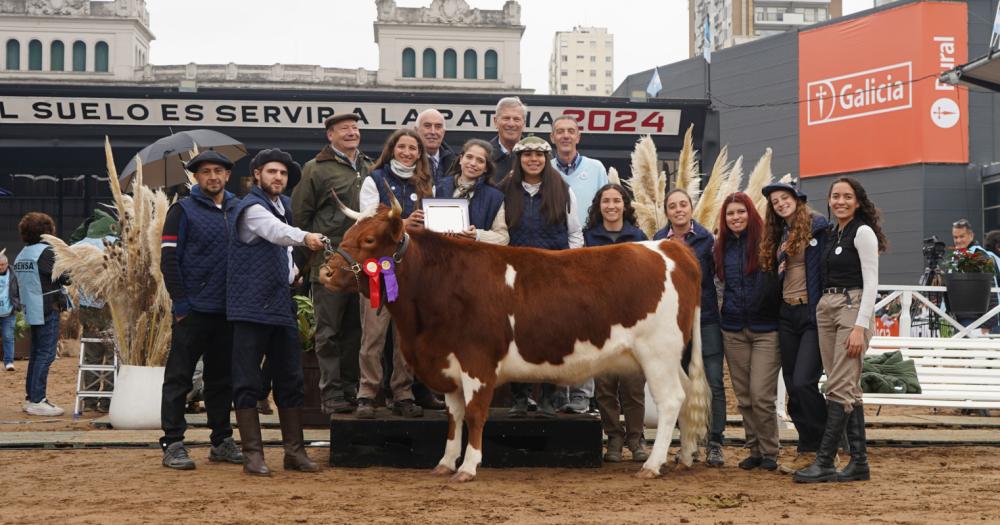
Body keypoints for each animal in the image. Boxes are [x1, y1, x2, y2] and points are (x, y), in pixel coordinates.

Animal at [322, 191, 712, 478]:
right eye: (347, 235)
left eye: (369, 239)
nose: (326, 272)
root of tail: (669, 248)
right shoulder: (448, 363)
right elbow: (454, 417)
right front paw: (445, 463)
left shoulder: (477, 362)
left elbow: (475, 413)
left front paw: (468, 467)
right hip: (670, 355)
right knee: (686, 395)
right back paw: (685, 457)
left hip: (657, 353)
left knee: (671, 400)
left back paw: (653, 465)